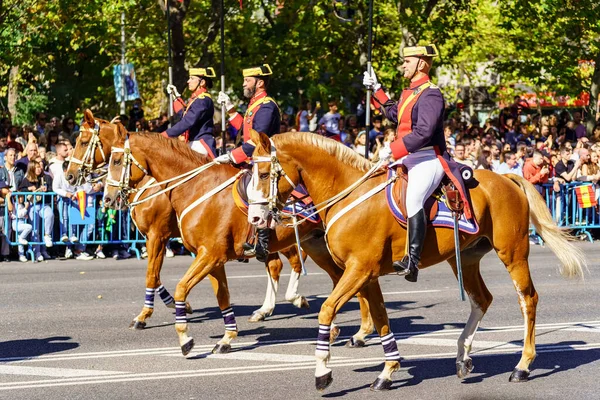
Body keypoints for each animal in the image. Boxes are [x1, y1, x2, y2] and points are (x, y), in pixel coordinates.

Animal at [101, 130, 376, 356]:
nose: (107, 198)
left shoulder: (194, 250)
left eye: (116, 161)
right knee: (338, 279)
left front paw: (184, 337)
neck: (197, 187)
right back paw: (344, 328)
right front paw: (227, 338)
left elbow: (175, 285)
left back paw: (360, 331)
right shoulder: (211, 259)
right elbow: (222, 296)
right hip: (316, 245)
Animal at [245, 131, 584, 390]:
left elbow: (327, 310)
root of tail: (506, 178)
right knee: (482, 299)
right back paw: (463, 356)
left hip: (513, 254)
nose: (256, 219)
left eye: (263, 174)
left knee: (528, 299)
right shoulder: (366, 274)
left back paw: (523, 365)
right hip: (466, 258)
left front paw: (323, 371)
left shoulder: (359, 270)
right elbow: (381, 317)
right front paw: (387, 370)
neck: (348, 195)